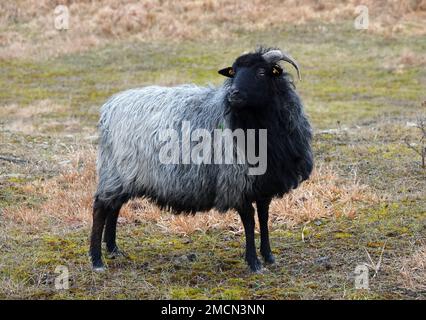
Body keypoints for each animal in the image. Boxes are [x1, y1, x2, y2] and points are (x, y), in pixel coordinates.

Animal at [90, 47, 312, 272]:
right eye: (234, 72)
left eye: (261, 72)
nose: (233, 94)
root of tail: (110, 106)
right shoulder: (236, 181)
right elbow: (249, 221)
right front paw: (253, 262)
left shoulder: (265, 182)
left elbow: (264, 217)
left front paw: (268, 256)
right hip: (116, 170)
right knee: (101, 207)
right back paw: (97, 260)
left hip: (125, 175)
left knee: (114, 207)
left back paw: (113, 249)